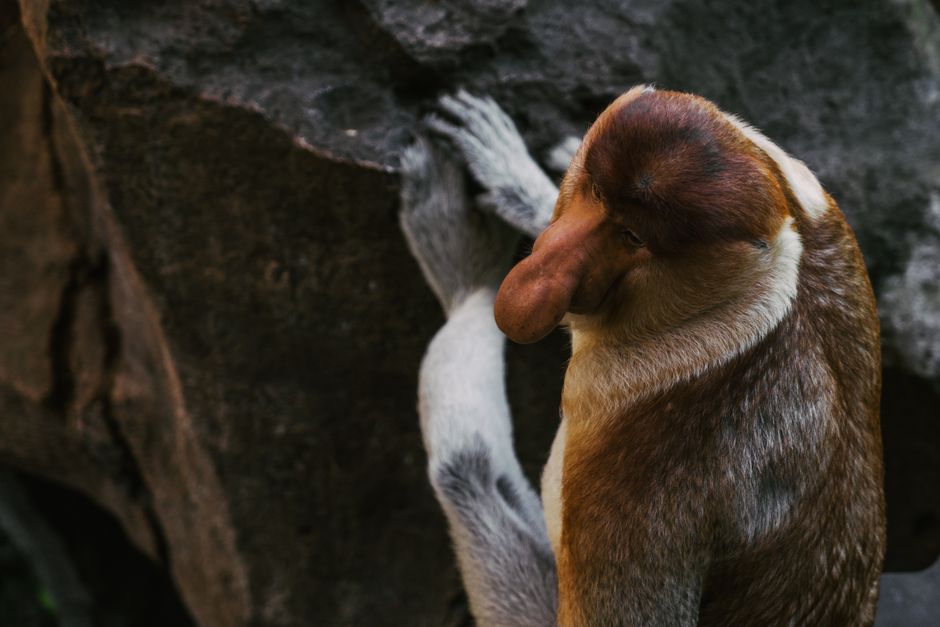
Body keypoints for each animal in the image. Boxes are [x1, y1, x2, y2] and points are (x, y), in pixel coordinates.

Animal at [400, 86, 885, 626]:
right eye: (594, 193)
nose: (536, 285)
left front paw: (467, 272)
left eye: (633, 237)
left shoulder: (651, 475)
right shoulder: (817, 202)